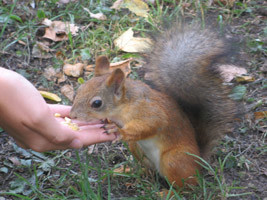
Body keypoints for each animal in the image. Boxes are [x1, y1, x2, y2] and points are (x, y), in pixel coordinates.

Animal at [69, 24, 237, 188]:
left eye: (97, 103)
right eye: (79, 90)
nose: (72, 115)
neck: (124, 106)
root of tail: (198, 163)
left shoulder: (149, 111)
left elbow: (151, 124)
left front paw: (117, 130)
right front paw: (109, 122)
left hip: (173, 160)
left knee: (187, 187)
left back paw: (167, 192)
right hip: (136, 148)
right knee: (150, 170)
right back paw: (131, 173)